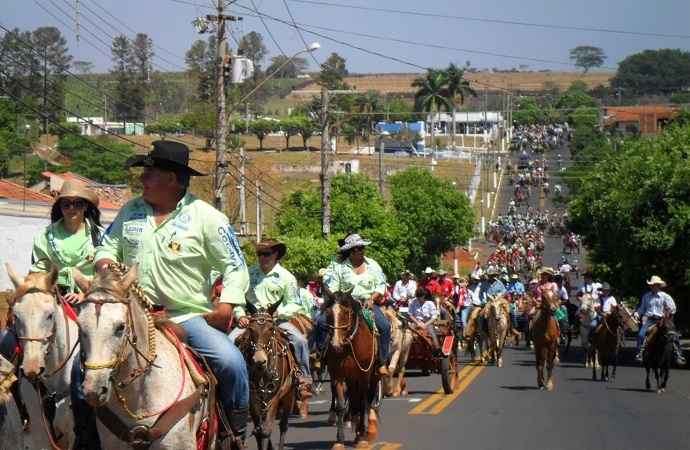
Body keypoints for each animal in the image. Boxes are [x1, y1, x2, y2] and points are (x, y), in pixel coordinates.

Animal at [239, 298, 296, 450]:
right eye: (250, 329)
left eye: (271, 329)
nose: (259, 361)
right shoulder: (252, 399)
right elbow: (259, 431)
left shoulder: (273, 399)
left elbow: (266, 431)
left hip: (289, 396)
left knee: (284, 425)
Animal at [326, 290, 378, 448]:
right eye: (327, 313)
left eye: (346, 312)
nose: (335, 345)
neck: (349, 347)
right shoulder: (336, 375)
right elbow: (341, 406)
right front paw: (339, 440)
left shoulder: (364, 375)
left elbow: (362, 404)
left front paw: (362, 439)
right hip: (350, 378)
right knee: (354, 398)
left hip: (373, 376)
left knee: (368, 399)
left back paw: (367, 431)